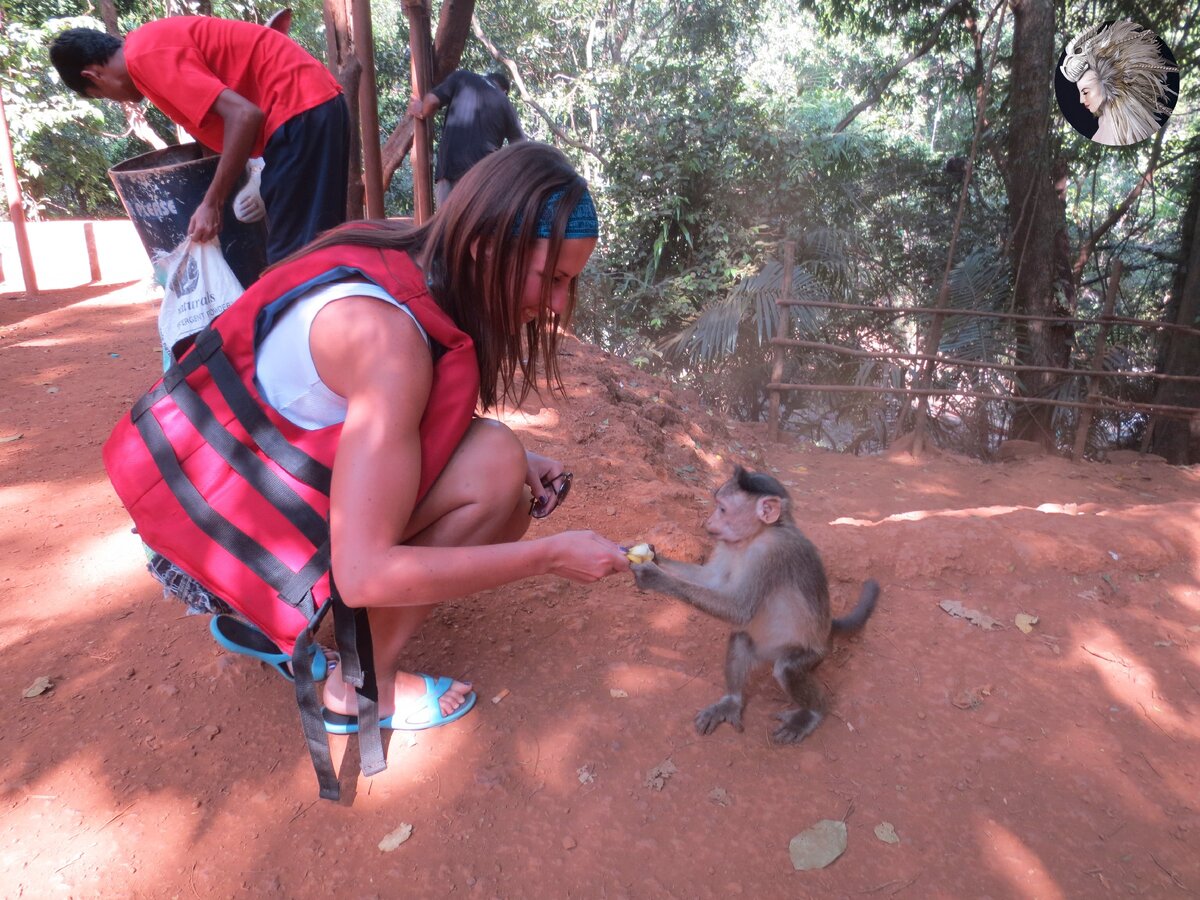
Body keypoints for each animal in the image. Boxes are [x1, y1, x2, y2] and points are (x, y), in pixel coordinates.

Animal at [633, 468, 878, 744]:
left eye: (722, 509)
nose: (708, 522)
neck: (755, 536)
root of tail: (827, 631)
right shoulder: (727, 544)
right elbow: (712, 580)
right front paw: (655, 556)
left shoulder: (771, 553)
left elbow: (740, 610)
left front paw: (653, 577)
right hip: (764, 648)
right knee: (740, 639)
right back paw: (732, 701)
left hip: (813, 655)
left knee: (786, 669)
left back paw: (813, 712)